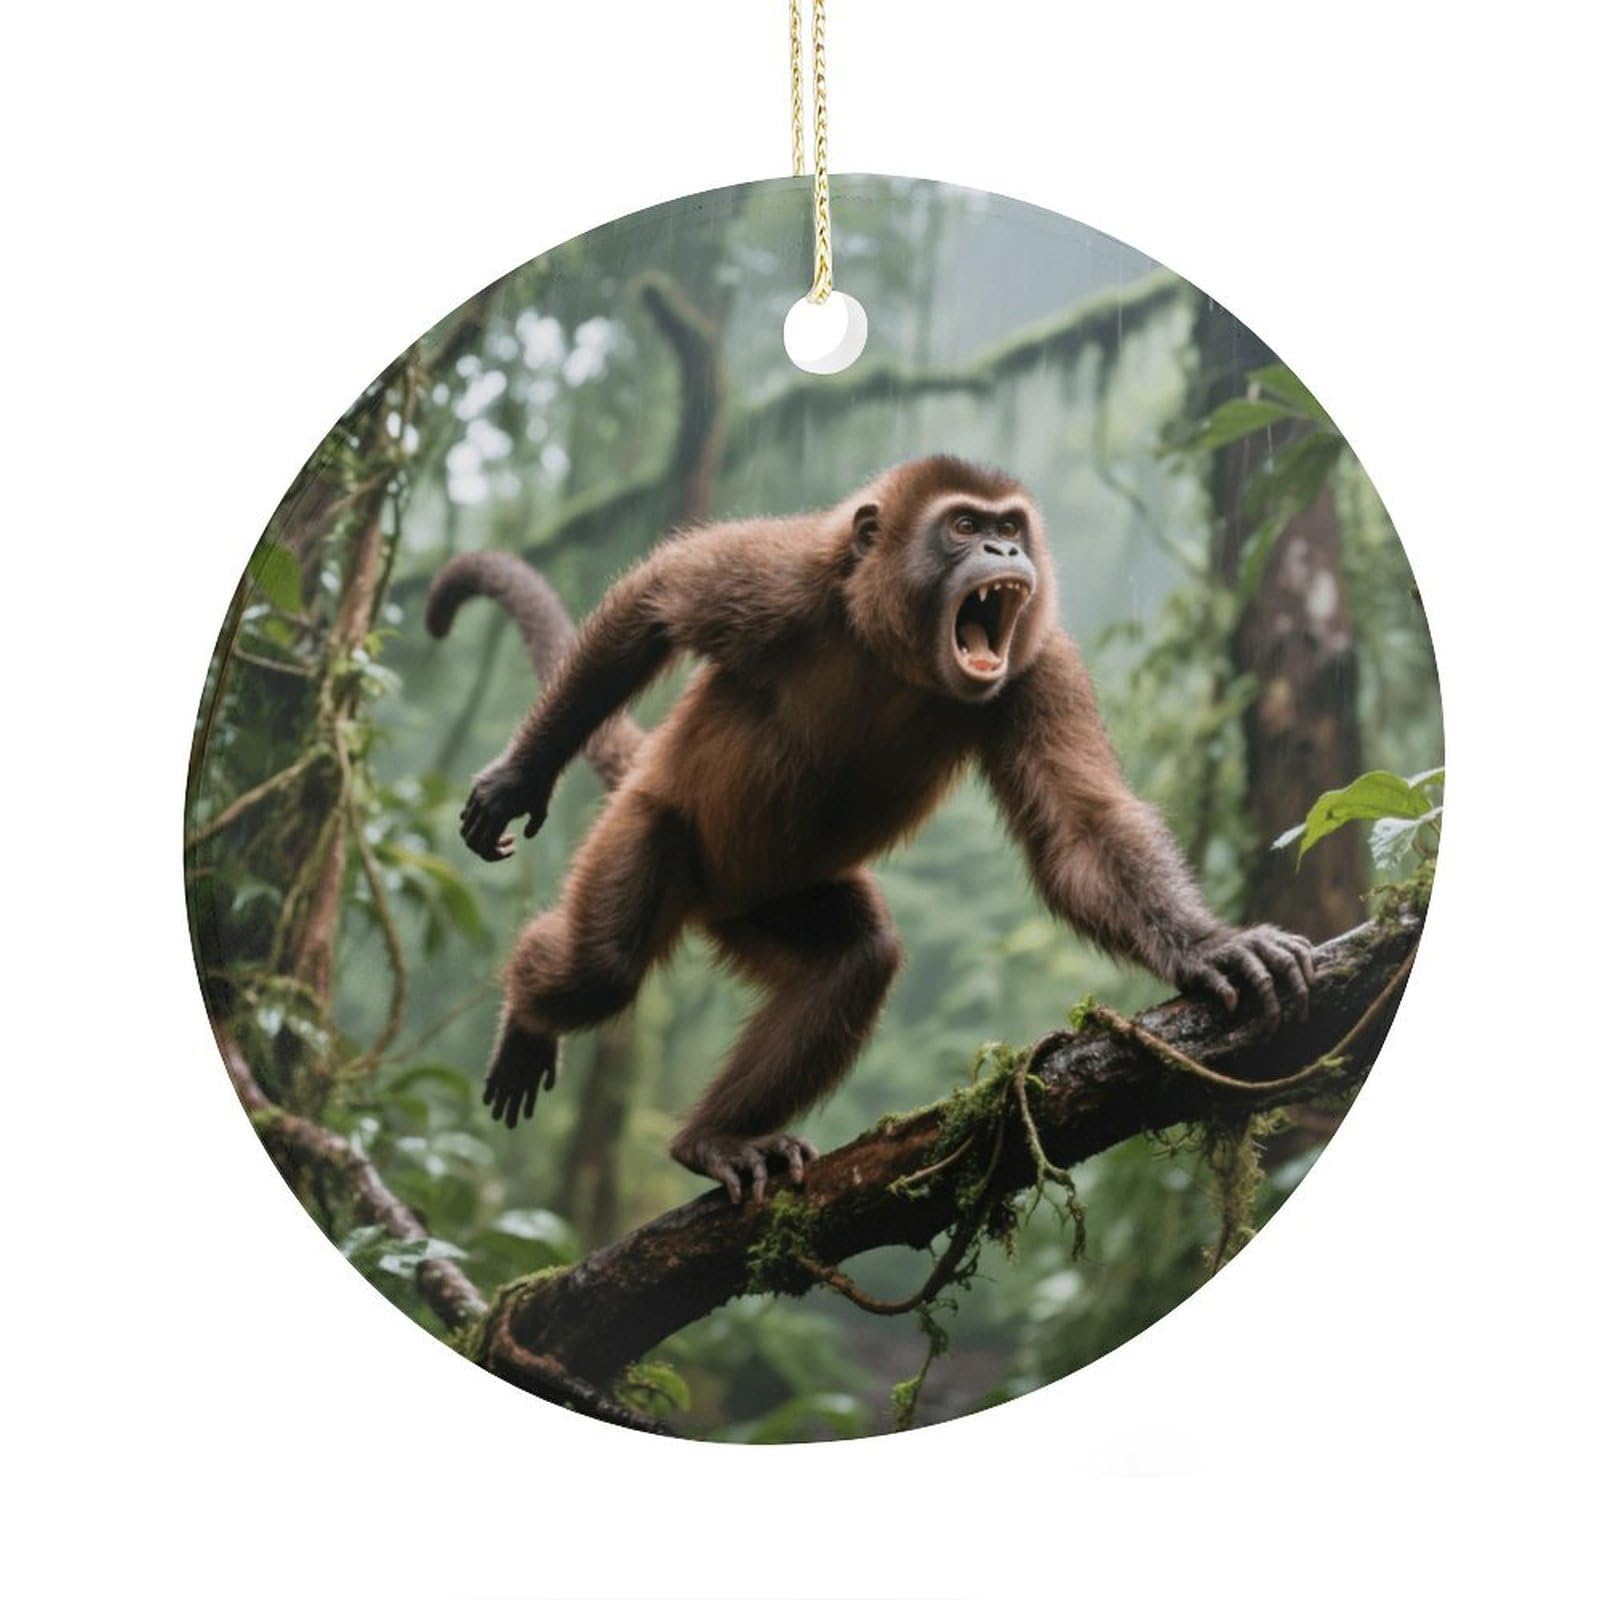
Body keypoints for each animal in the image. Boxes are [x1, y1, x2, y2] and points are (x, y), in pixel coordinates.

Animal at [425, 456, 1315, 1203]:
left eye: (1010, 527)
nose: (1003, 547)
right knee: (601, 966)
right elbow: (653, 603)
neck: (893, 651)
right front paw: (519, 778)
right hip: (651, 825)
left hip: (757, 902)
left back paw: (713, 1137)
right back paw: (531, 1014)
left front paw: (1205, 947)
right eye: (964, 525)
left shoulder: (1038, 660)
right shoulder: (785, 578)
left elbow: (1082, 828)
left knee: (856, 959)